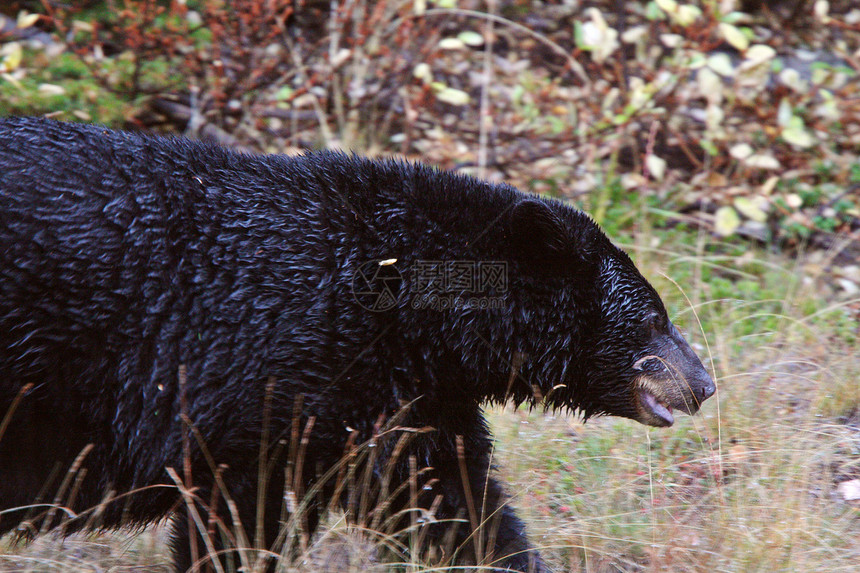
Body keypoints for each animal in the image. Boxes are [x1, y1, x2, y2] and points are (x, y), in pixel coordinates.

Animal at [0, 117, 712, 572]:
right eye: (654, 319)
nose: (703, 384)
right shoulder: (268, 372)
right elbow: (238, 514)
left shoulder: (400, 396)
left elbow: (447, 502)